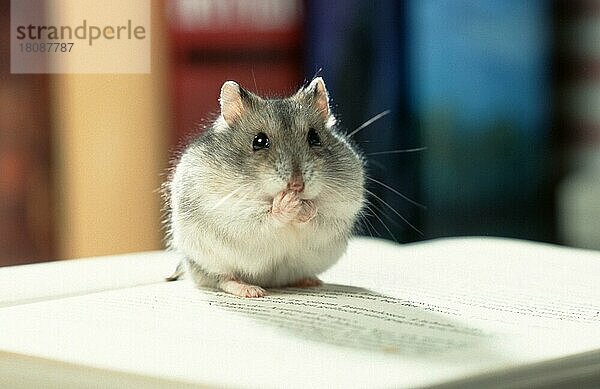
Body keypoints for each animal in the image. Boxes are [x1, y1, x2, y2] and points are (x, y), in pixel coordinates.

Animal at [166, 78, 368, 298]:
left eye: (315, 138)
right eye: (259, 141)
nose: (297, 185)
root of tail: (269, 281)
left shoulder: (340, 210)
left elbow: (318, 214)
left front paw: (305, 207)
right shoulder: (230, 209)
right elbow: (265, 215)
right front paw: (287, 202)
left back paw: (312, 281)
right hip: (207, 262)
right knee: (222, 279)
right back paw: (252, 291)